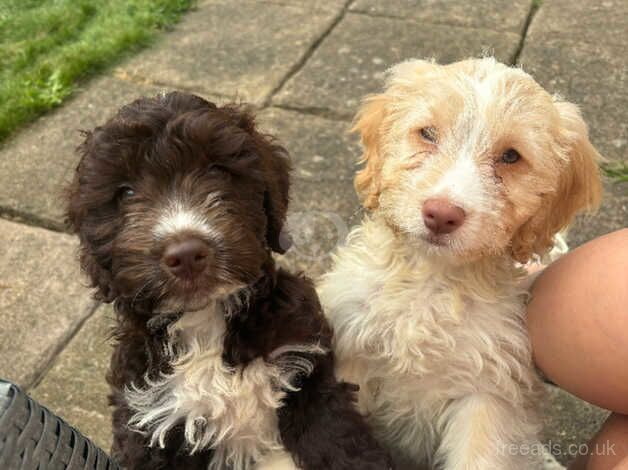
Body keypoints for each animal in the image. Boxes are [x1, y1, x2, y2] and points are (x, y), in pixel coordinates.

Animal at [322, 57, 600, 468]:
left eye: (511, 156)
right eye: (427, 133)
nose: (441, 214)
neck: (430, 283)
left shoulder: (487, 391)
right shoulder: (350, 352)